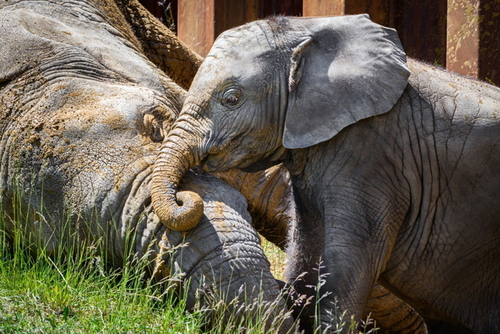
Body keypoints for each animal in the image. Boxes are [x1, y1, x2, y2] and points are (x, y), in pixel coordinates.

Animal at [151, 14, 500, 332]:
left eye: (232, 98)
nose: (185, 195)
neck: (307, 29)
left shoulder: (372, 152)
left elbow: (348, 262)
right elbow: (306, 248)